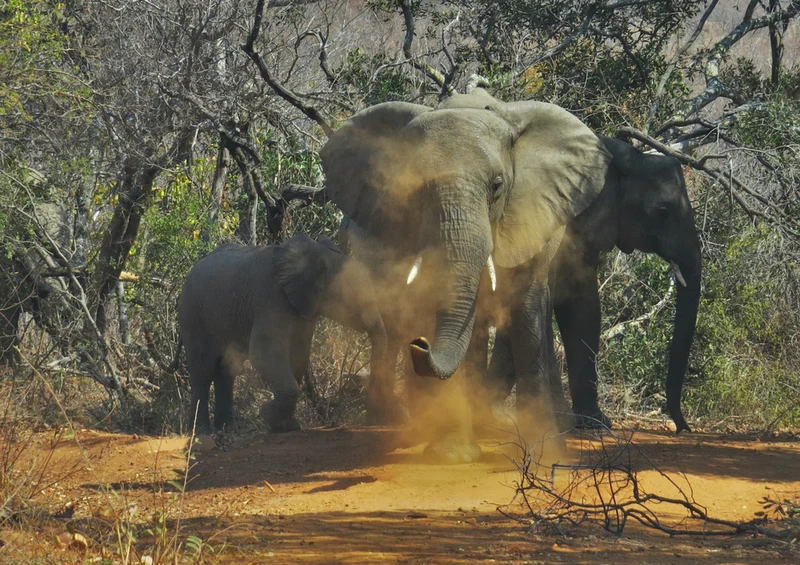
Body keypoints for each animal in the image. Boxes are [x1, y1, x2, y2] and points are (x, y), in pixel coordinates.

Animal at [177, 234, 389, 434]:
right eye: (355, 298)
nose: (372, 418)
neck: (320, 256)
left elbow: (298, 356)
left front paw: (286, 426)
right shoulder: (271, 298)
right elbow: (263, 355)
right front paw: (268, 415)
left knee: (228, 370)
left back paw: (226, 428)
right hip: (193, 314)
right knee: (202, 371)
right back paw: (201, 431)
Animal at [321, 89, 612, 462]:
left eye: (497, 186)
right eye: (412, 189)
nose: (420, 343)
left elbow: (526, 311)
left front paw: (545, 454)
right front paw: (452, 454)